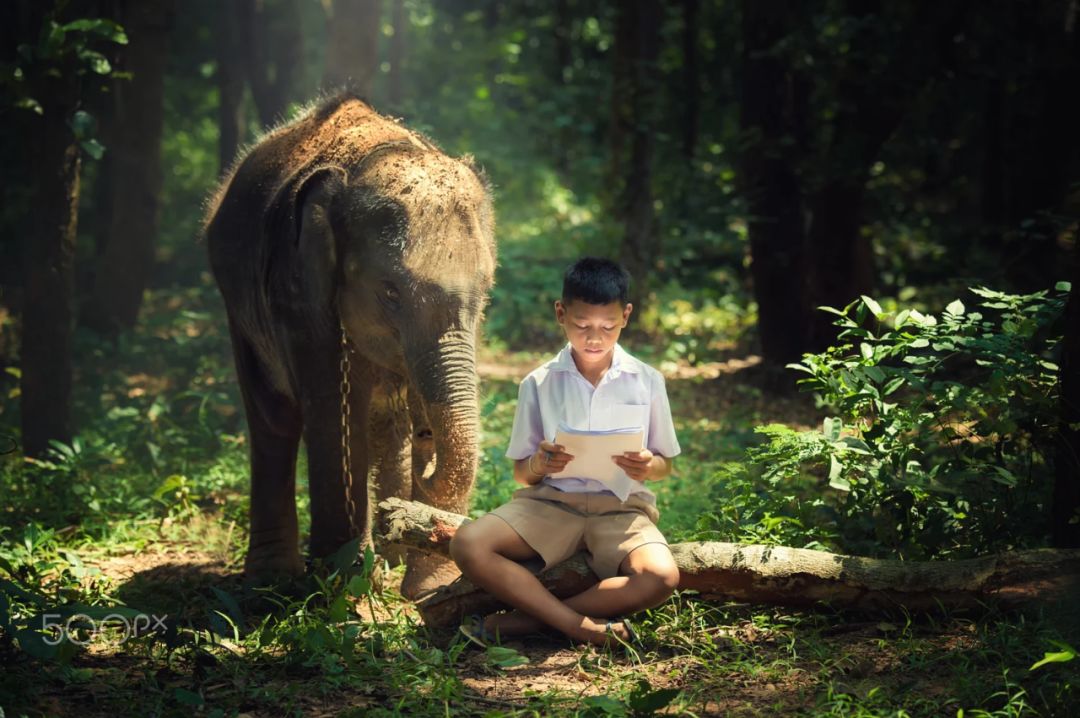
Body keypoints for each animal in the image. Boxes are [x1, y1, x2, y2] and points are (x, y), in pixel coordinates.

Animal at [203, 95, 496, 600]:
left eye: (485, 289)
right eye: (391, 292)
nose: (429, 453)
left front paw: (426, 588)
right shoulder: (298, 292)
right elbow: (333, 412)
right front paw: (343, 584)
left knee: (385, 422)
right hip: (237, 307)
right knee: (274, 421)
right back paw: (272, 580)